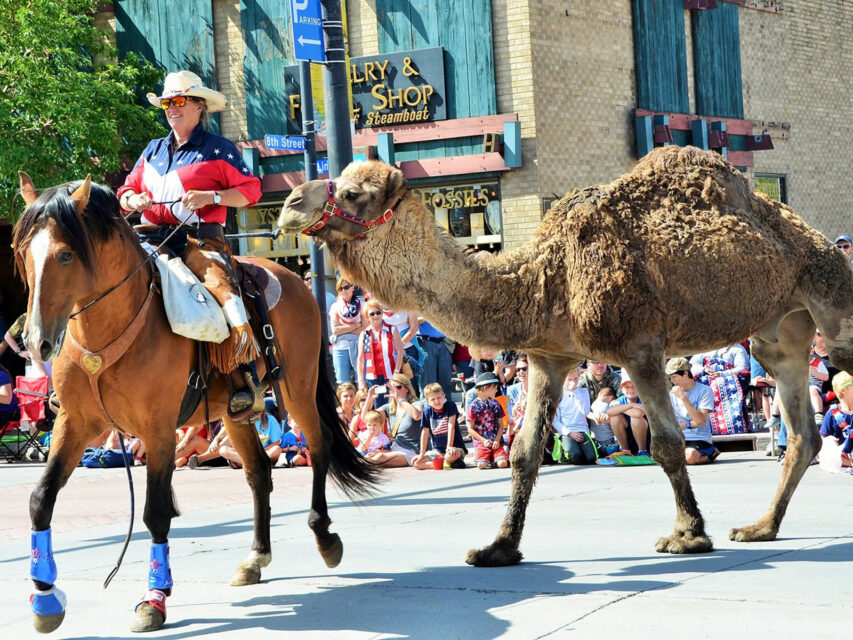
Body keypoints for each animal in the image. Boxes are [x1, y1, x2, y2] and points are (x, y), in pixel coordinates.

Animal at [13, 173, 378, 633]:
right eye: (23, 255)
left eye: (64, 255)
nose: (36, 342)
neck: (112, 327)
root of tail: (292, 275)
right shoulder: (75, 424)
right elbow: (40, 500)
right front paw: (45, 600)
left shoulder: (158, 430)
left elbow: (156, 513)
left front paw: (153, 599)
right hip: (236, 413)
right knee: (258, 471)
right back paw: (256, 557)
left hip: (298, 388)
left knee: (319, 445)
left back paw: (324, 536)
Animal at [279, 145, 853, 566]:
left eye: (354, 192)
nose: (289, 204)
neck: (542, 281)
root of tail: (814, 237)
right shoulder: (547, 356)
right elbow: (524, 451)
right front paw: (498, 548)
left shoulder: (640, 346)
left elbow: (668, 444)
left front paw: (688, 536)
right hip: (779, 333)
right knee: (802, 431)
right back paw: (760, 527)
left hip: (834, 310)